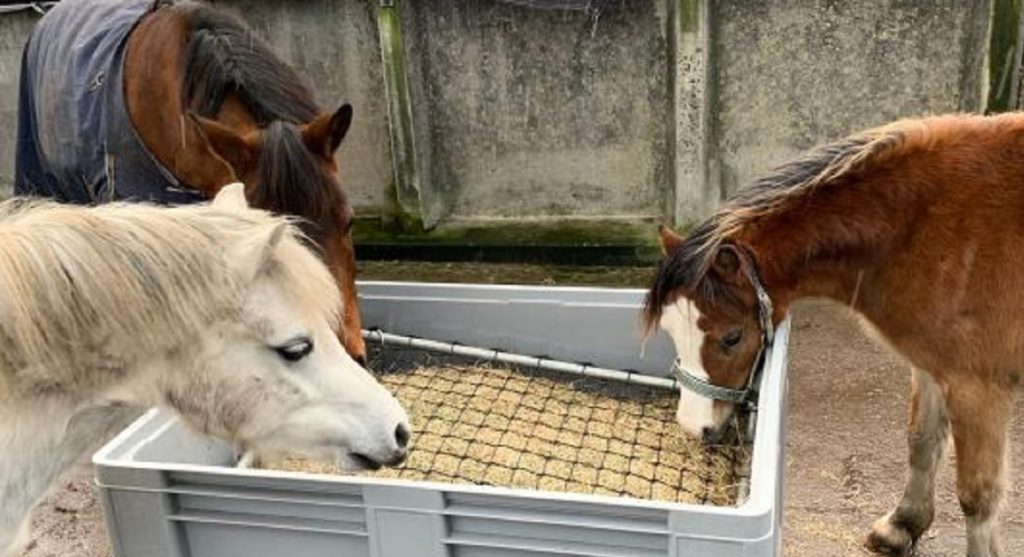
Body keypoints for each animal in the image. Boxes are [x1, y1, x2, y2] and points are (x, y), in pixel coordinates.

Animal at [647, 110, 1024, 557]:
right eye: (670, 331)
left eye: (732, 337)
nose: (694, 427)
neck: (921, 227)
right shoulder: (931, 366)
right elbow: (922, 442)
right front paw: (902, 525)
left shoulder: (976, 387)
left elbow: (977, 495)